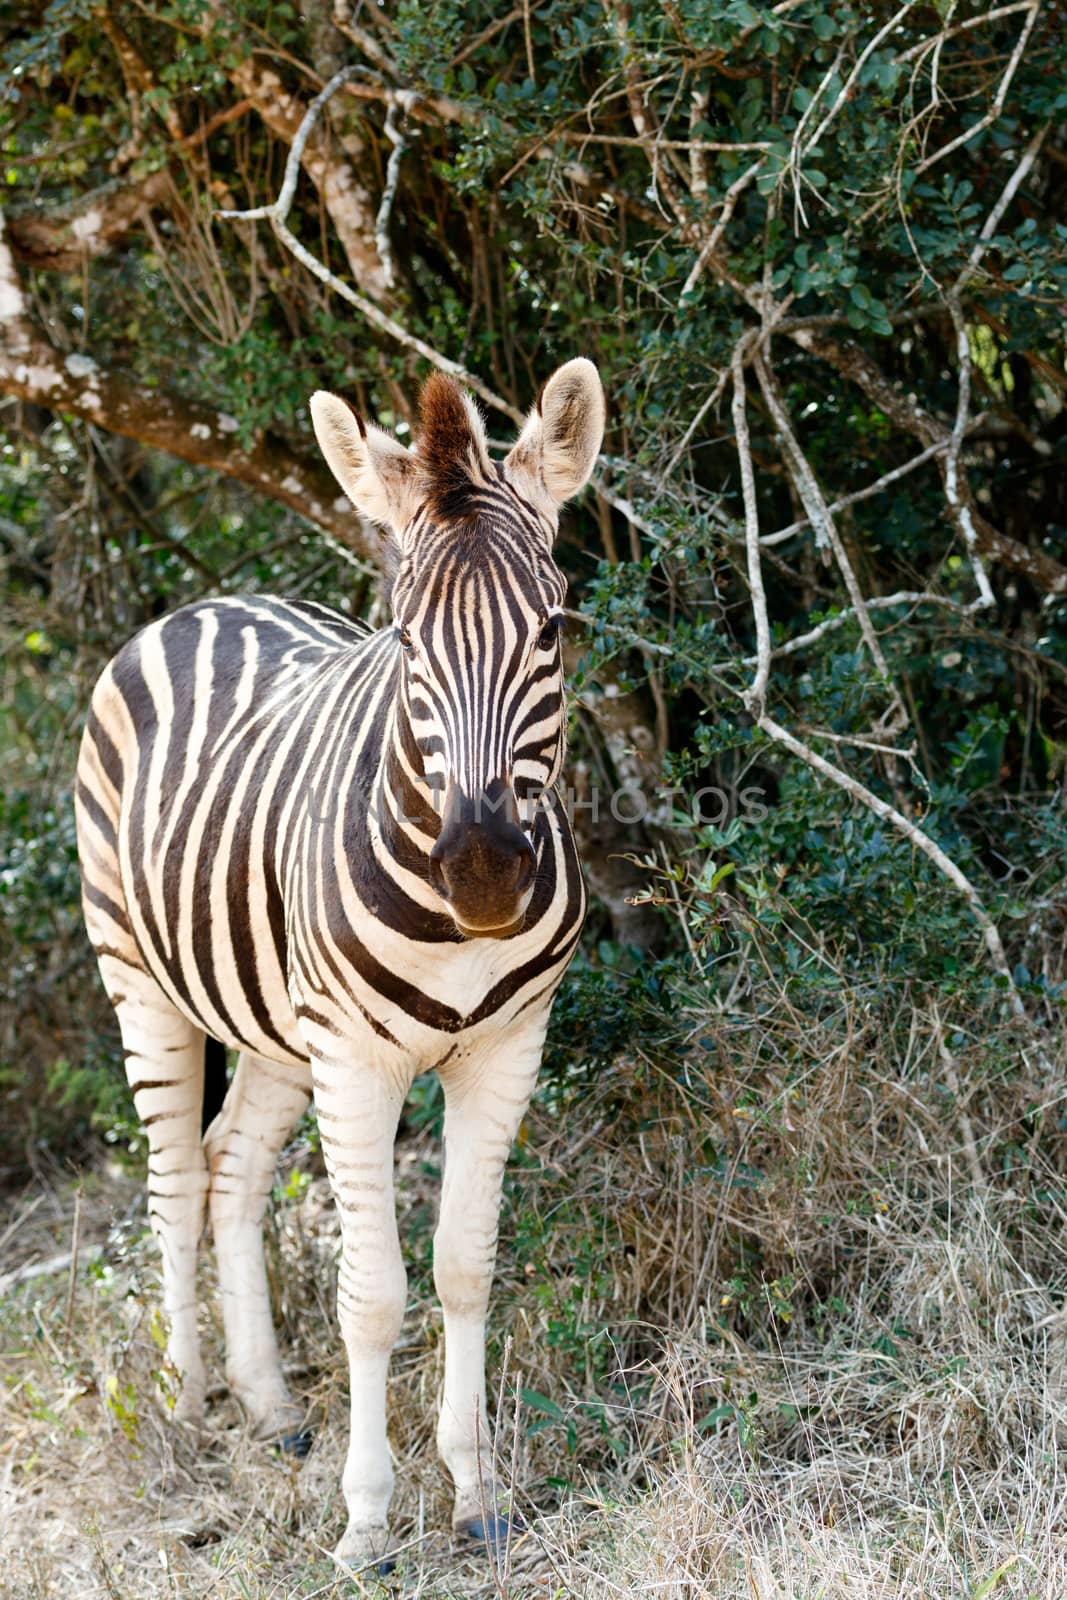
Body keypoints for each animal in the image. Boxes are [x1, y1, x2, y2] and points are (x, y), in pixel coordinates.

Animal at [73, 360, 604, 1561]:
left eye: (551, 627)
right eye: (404, 641)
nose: (484, 873)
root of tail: (203, 606)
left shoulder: (508, 1047)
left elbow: (463, 1265)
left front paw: (476, 1490)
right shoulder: (357, 1065)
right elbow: (373, 1293)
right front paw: (366, 1522)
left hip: (276, 1023)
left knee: (231, 1165)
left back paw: (271, 1407)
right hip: (140, 980)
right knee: (174, 1176)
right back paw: (190, 1404)